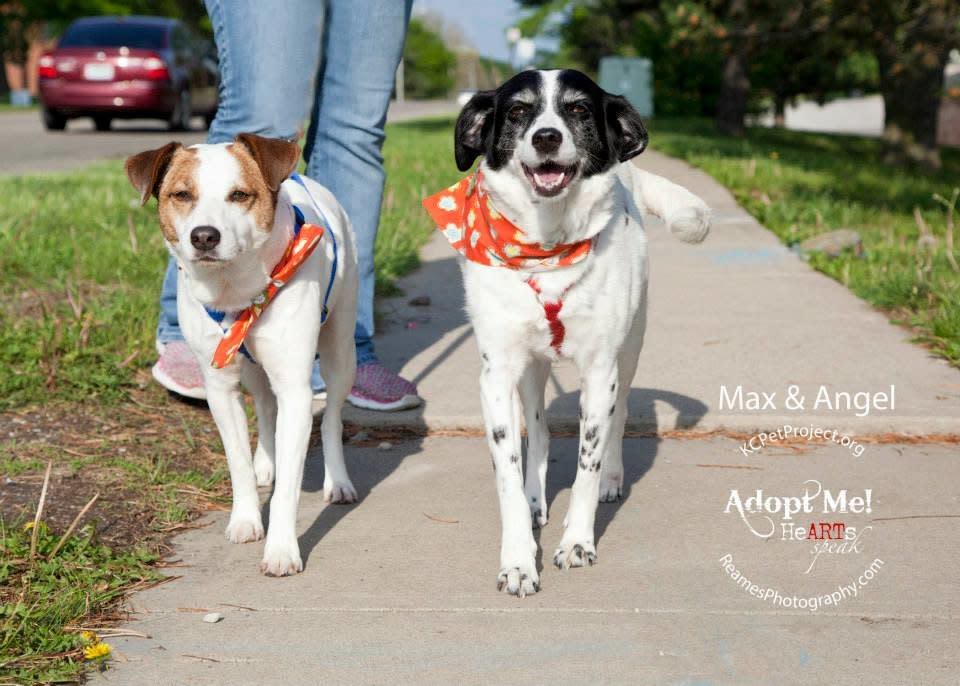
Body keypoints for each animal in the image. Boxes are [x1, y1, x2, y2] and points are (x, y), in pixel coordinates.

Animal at [124, 133, 356, 576]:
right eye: (182, 194)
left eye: (239, 195)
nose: (204, 236)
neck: (235, 290)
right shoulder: (221, 388)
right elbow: (238, 463)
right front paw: (246, 518)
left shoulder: (296, 389)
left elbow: (288, 490)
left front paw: (281, 550)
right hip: (250, 370)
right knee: (264, 408)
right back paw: (266, 459)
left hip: (340, 349)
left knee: (332, 417)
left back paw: (338, 480)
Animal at [448, 68, 704, 596]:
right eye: (519, 110)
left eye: (579, 109)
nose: (546, 137)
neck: (547, 245)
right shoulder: (497, 374)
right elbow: (509, 471)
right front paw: (518, 558)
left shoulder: (601, 369)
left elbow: (587, 462)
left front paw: (578, 542)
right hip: (532, 368)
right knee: (540, 429)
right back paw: (535, 500)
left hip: (630, 350)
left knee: (618, 418)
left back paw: (611, 479)